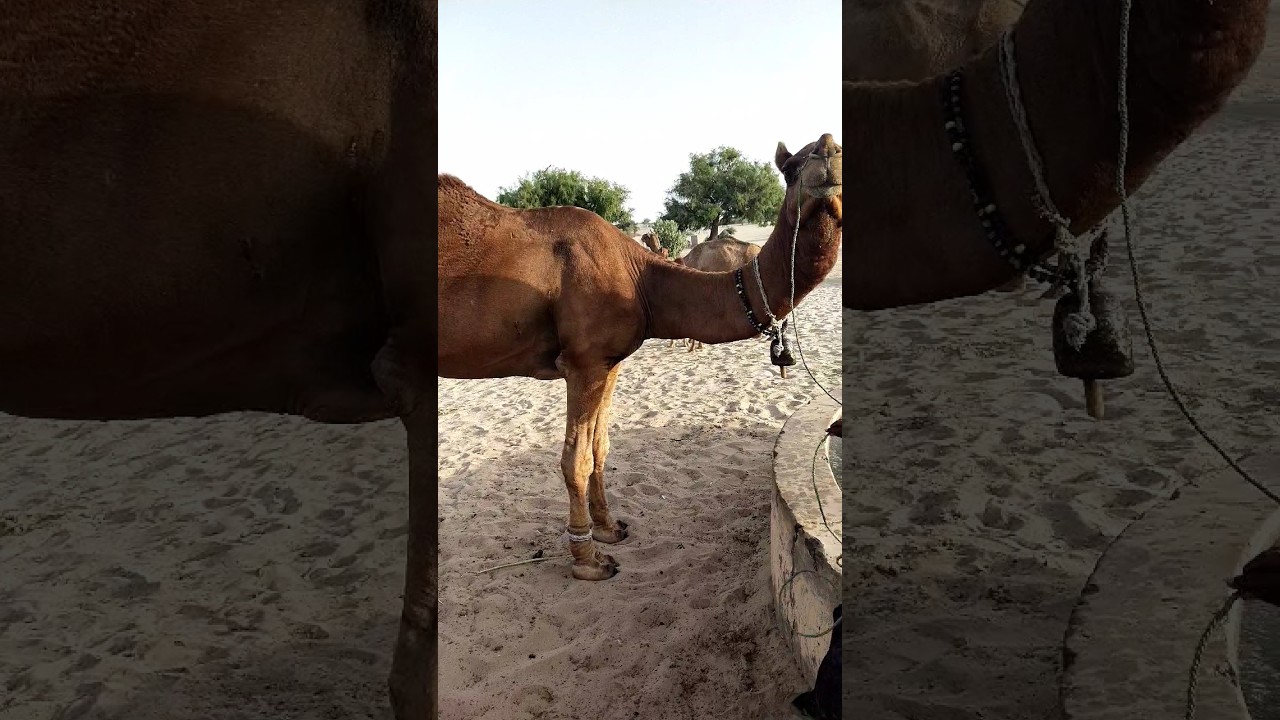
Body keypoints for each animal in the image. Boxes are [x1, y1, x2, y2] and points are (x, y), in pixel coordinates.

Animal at [438, 133, 843, 581]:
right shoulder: (584, 362)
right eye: (788, 169)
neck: (642, 278)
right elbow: (575, 458)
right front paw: (589, 560)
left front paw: (609, 529)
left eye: (839, 151)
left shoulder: (608, 361)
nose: (826, 153)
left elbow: (600, 447)